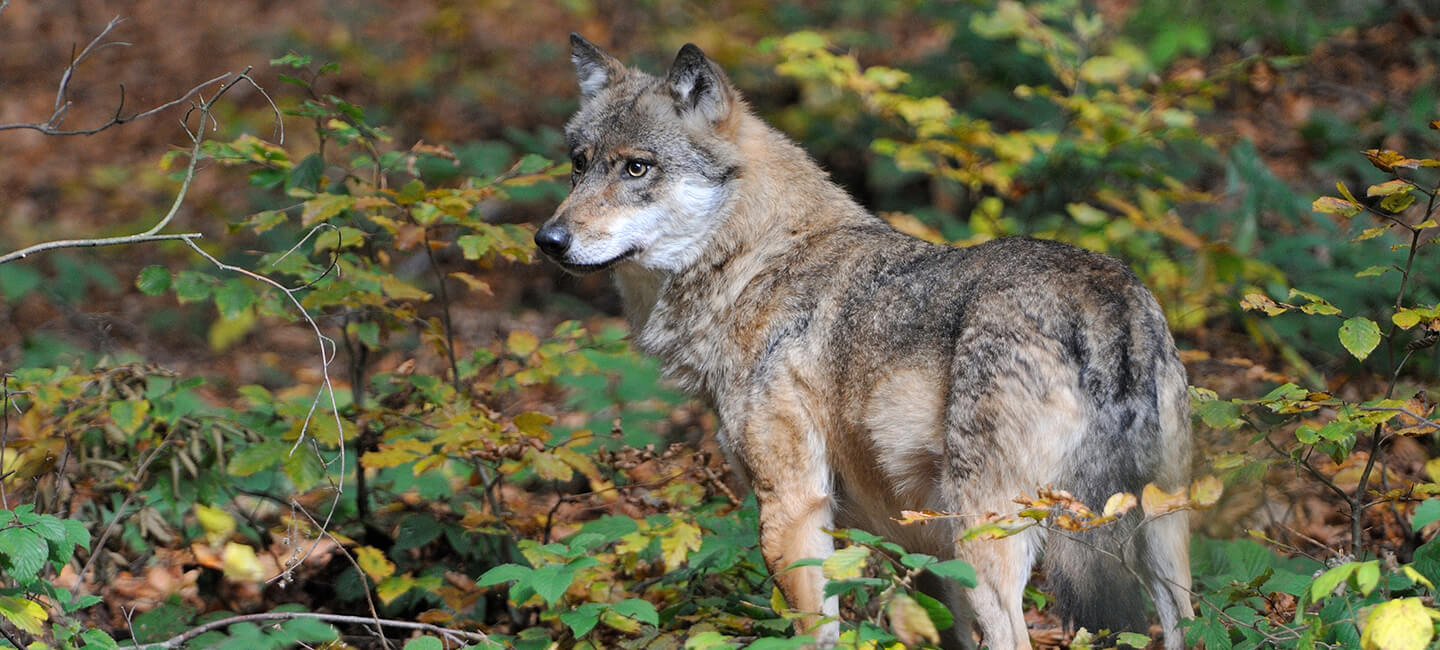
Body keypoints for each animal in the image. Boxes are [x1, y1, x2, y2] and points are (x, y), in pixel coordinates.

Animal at [535, 35, 1198, 650]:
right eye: (578, 163)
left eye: (637, 168)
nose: (548, 240)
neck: (756, 263)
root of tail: (1104, 295)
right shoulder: (923, 549)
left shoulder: (793, 509)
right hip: (1161, 542)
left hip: (992, 543)